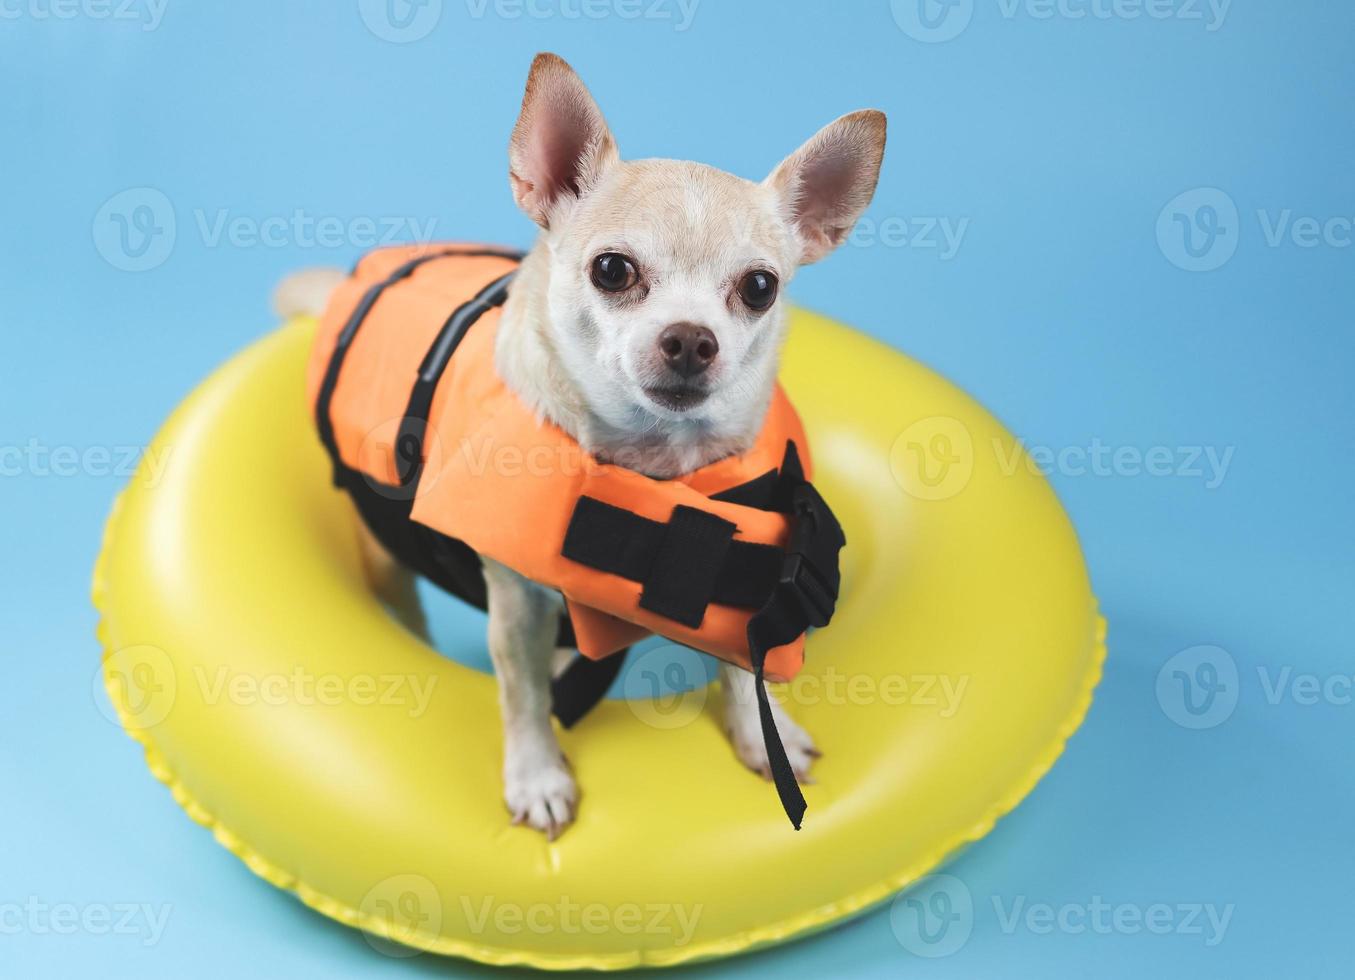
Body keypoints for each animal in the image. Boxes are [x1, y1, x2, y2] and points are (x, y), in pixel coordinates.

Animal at [280, 53, 883, 840]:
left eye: (759, 287)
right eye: (612, 270)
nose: (692, 339)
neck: (653, 468)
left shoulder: (747, 583)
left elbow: (739, 664)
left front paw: (763, 731)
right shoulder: (516, 607)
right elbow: (523, 695)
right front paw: (537, 776)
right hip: (385, 558)